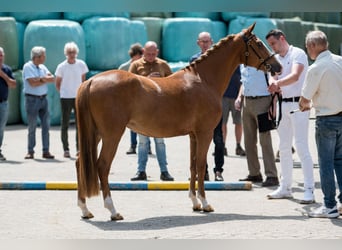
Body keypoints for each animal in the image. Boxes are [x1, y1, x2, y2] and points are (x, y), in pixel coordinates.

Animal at [76, 22, 282, 220]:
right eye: (258, 44)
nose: (277, 66)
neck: (204, 80)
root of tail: (91, 81)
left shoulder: (193, 135)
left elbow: (192, 165)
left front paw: (195, 202)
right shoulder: (205, 133)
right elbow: (201, 165)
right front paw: (205, 203)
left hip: (95, 134)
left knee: (80, 162)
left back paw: (85, 209)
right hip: (112, 134)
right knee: (102, 165)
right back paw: (113, 211)